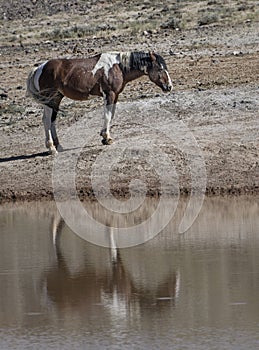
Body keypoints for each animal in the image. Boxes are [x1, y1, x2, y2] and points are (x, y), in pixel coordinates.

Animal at [26, 51, 174, 154]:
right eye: (160, 69)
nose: (169, 87)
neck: (118, 67)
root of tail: (39, 68)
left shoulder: (115, 95)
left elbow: (111, 115)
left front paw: (104, 137)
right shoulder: (109, 94)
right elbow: (107, 115)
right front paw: (107, 138)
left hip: (56, 99)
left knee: (52, 121)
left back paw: (59, 146)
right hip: (49, 99)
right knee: (46, 120)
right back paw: (51, 148)